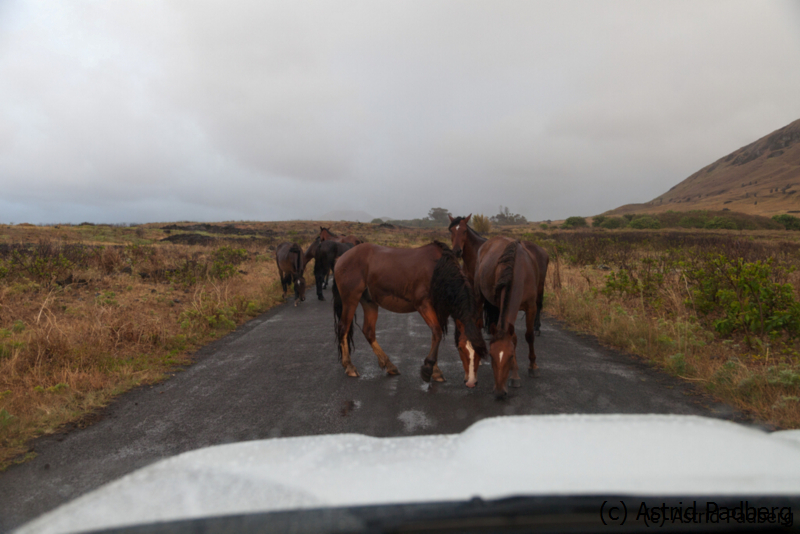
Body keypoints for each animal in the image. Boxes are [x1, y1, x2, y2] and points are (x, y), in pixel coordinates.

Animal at [332, 242, 488, 386]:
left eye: (480, 351)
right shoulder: (423, 305)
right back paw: (349, 366)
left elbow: (435, 336)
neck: (439, 270)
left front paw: (435, 370)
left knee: (368, 331)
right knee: (343, 328)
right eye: (461, 349)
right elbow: (437, 333)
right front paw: (429, 369)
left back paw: (389, 365)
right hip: (351, 299)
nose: (471, 382)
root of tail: (342, 258)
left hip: (369, 302)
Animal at [472, 237, 540, 400]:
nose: (498, 391)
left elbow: (529, 336)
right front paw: (515, 375)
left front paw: (533, 366)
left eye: (510, 356)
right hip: (479, 296)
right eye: (491, 356)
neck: (519, 272)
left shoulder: (531, 307)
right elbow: (514, 338)